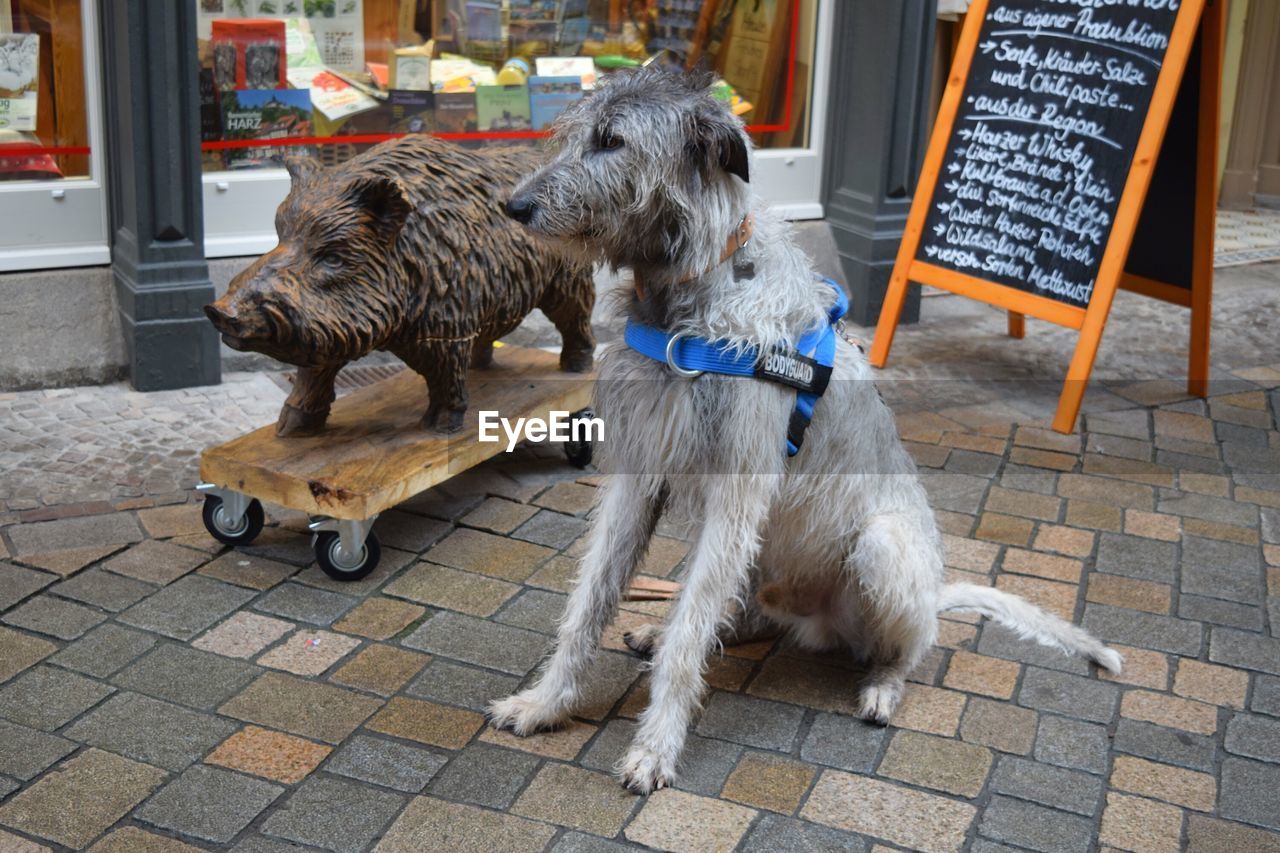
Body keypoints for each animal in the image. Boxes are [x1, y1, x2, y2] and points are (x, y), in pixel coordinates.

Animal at [488, 66, 1121, 788]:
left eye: (613, 141)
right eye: (572, 136)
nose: (513, 205)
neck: (691, 299)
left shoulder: (737, 491)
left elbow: (690, 632)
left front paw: (656, 744)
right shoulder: (639, 473)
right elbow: (590, 601)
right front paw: (545, 702)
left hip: (879, 548)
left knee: (898, 646)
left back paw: (882, 684)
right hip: (765, 553)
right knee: (739, 610)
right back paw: (675, 627)